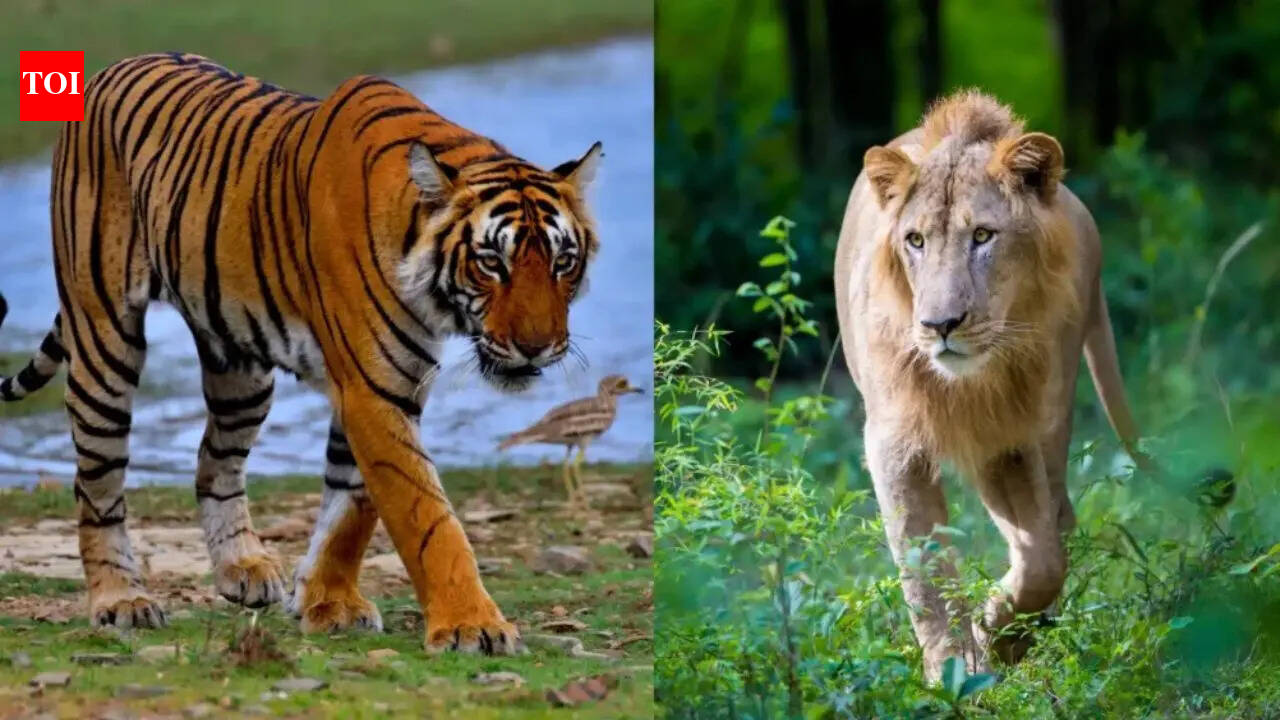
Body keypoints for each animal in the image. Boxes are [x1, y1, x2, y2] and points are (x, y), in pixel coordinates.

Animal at [0, 52, 603, 655]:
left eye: (563, 262)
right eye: (491, 263)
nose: (537, 347)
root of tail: (112, 67)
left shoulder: (384, 385)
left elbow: (351, 506)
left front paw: (328, 603)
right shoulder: (372, 390)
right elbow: (426, 516)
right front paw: (471, 625)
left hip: (241, 372)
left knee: (214, 460)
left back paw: (241, 568)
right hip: (104, 338)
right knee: (96, 483)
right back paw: (121, 600)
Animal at [833, 90, 1150, 680]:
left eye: (982, 235)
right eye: (915, 241)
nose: (940, 324)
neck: (969, 385)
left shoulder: (1012, 437)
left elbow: (1042, 558)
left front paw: (995, 636)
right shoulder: (894, 441)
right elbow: (923, 565)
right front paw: (954, 670)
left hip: (1056, 411)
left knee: (1061, 518)